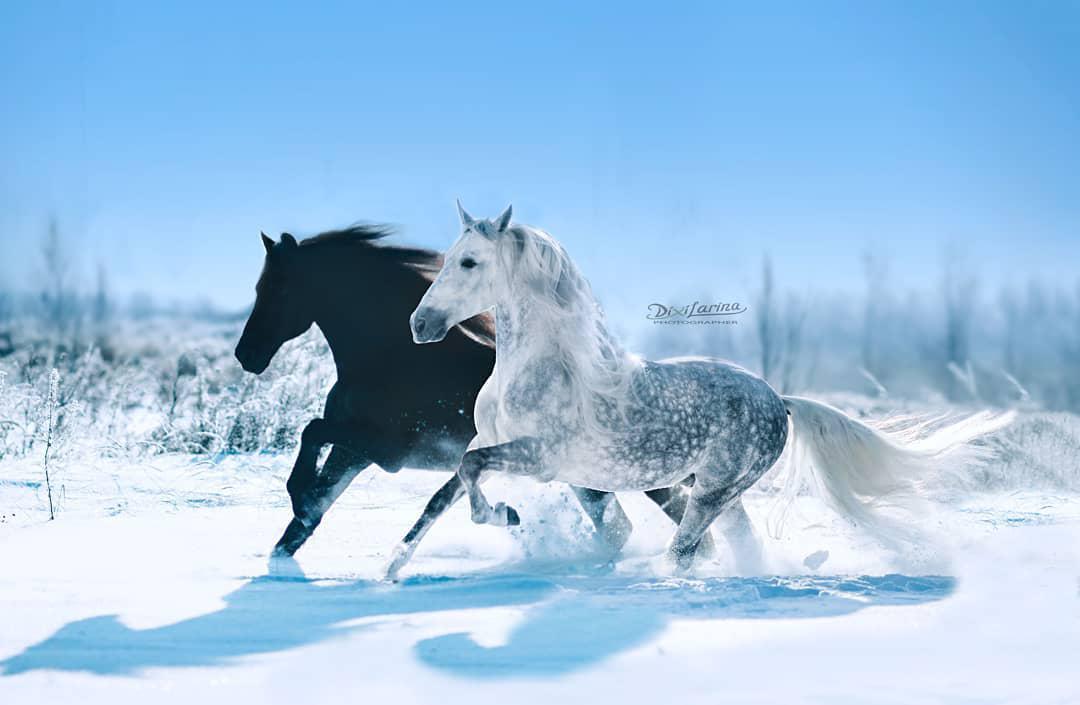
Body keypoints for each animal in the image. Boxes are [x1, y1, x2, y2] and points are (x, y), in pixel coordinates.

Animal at [234, 225, 699, 570]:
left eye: (278, 289)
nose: (246, 355)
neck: (390, 356)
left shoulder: (388, 451)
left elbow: (312, 432)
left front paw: (302, 500)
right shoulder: (352, 451)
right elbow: (302, 517)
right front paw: (292, 534)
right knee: (629, 526)